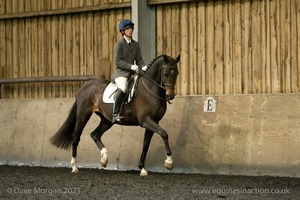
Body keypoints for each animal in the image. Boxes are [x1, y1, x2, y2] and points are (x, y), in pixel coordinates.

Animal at [51, 54, 180, 176]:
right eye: (165, 73)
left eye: (176, 73)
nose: (170, 96)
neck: (150, 90)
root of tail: (83, 87)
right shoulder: (145, 121)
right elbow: (164, 133)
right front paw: (169, 162)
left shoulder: (153, 121)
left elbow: (146, 144)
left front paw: (142, 169)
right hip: (83, 115)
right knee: (76, 137)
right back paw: (74, 166)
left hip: (107, 120)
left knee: (95, 134)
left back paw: (104, 158)